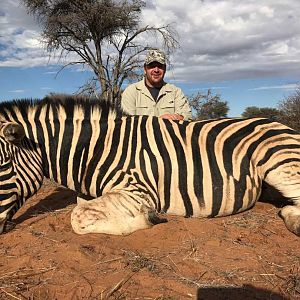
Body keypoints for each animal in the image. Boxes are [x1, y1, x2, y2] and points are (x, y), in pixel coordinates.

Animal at [0, 95, 300, 236]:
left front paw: (150, 217)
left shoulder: (138, 190)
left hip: (279, 162)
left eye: (3, 164)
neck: (94, 149)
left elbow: (77, 218)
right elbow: (82, 208)